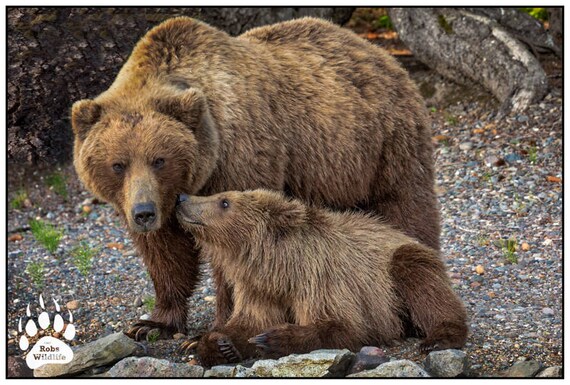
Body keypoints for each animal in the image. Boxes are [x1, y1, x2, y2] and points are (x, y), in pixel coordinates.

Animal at [71, 16, 440, 338]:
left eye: (159, 159)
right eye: (118, 164)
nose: (143, 213)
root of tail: (379, 51)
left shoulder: (240, 162)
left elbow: (234, 251)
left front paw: (221, 326)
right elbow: (166, 255)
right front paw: (152, 323)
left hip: (382, 146)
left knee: (406, 209)